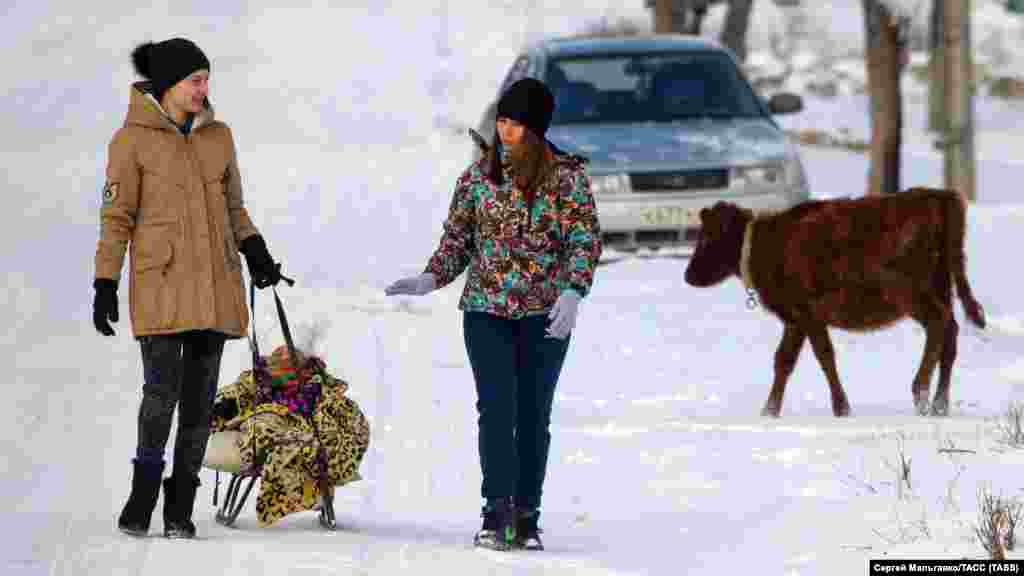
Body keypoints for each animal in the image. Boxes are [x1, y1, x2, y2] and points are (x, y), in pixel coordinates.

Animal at [684, 188, 987, 416]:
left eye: (707, 237)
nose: (688, 275)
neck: (766, 244)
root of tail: (938, 196)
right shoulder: (795, 320)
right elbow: (784, 361)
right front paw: (769, 411)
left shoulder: (809, 315)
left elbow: (824, 356)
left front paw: (841, 407)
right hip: (942, 285)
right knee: (951, 332)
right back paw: (939, 404)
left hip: (910, 296)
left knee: (938, 323)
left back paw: (920, 394)